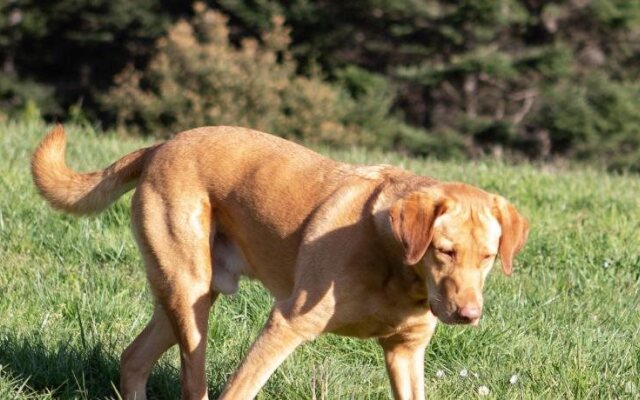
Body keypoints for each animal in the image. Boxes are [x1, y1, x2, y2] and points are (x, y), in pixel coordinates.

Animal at [31, 123, 528, 398]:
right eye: (444, 251)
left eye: (488, 256)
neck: (396, 267)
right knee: (192, 383)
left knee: (133, 357)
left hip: (193, 293)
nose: (469, 314)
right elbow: (239, 390)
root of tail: (160, 146)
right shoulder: (286, 325)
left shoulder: (405, 353)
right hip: (189, 294)